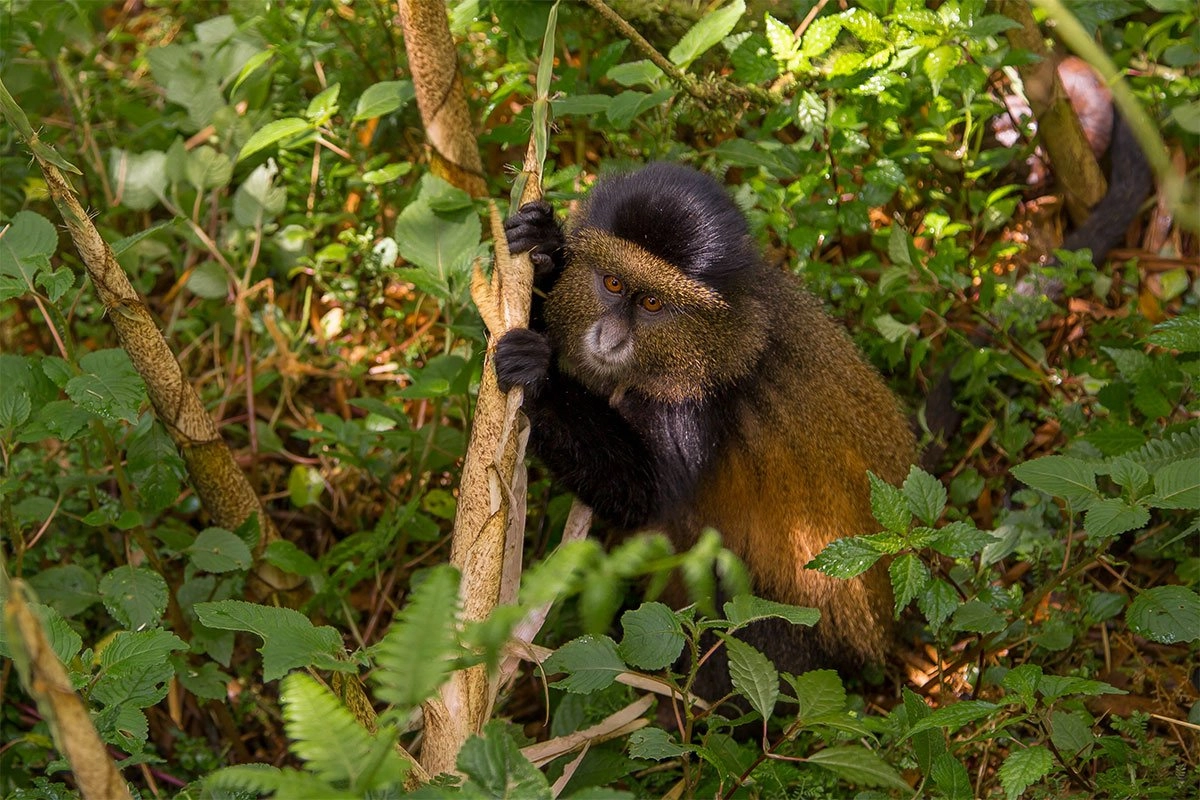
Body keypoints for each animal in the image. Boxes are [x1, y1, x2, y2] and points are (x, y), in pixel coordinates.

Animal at [493, 163, 916, 702]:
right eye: (611, 283)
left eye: (653, 303)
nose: (609, 337)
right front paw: (545, 245)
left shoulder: (695, 403)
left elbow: (645, 496)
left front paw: (539, 375)